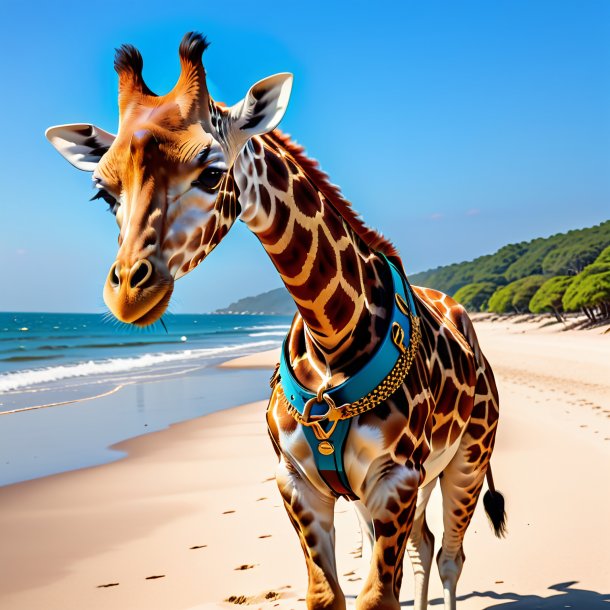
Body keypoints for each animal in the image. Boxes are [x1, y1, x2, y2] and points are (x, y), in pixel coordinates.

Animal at [46, 33, 504, 608]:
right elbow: (328, 595)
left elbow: (378, 596)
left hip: (466, 460)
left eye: (211, 172)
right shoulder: (298, 482)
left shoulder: (395, 476)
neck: (330, 335)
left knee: (448, 556)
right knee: (423, 546)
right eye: (104, 194)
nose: (129, 292)